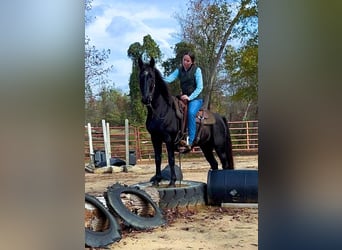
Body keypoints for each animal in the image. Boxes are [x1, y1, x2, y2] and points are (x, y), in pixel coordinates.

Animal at [138, 56, 234, 186]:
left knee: (225, 164)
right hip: (206, 147)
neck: (161, 111)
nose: (146, 99)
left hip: (220, 147)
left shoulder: (168, 138)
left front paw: (172, 181)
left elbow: (171, 159)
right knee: (214, 164)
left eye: (151, 77)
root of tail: (220, 118)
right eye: (140, 77)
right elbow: (157, 158)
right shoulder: (155, 138)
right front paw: (157, 180)